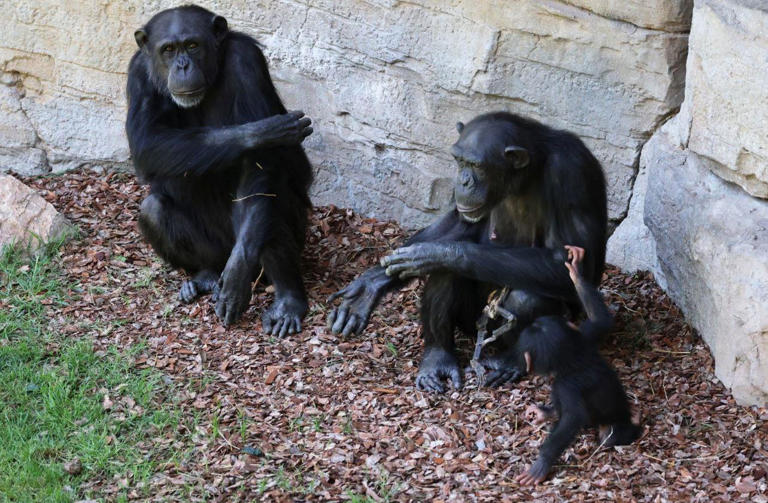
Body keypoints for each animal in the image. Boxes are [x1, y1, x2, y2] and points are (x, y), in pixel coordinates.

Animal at [127, 5, 314, 334]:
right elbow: (146, 140)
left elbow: (260, 167)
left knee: (267, 204)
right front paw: (261, 132)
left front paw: (239, 271)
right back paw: (205, 276)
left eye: (192, 45)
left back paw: (287, 300)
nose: (183, 66)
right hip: (215, 250)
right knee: (153, 209)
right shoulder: (138, 73)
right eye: (168, 50)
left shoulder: (246, 60)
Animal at [328, 113, 608, 394]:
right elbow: (459, 221)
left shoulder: (573, 173)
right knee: (445, 277)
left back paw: (510, 362)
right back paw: (437, 358)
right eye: (459, 160)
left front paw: (436, 254)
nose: (462, 180)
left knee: (526, 298)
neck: (526, 175)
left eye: (477, 165)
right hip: (470, 322)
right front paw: (372, 282)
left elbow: (571, 262)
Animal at [516, 246, 640, 486]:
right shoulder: (585, 335)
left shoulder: (565, 386)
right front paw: (576, 272)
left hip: (612, 427)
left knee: (607, 436)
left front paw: (542, 463)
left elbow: (572, 418)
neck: (571, 357)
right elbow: (601, 320)